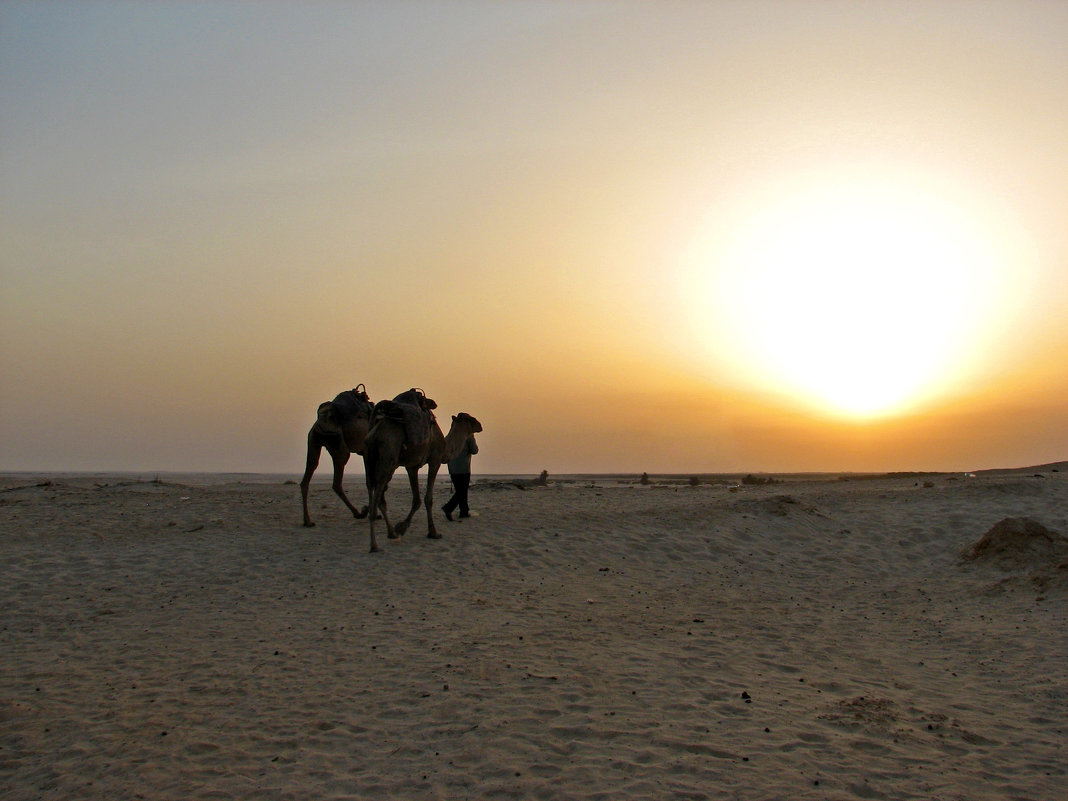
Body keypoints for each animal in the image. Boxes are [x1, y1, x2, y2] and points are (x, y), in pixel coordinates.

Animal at [301, 386, 375, 529]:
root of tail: (323, 419)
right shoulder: (368, 451)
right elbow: (371, 482)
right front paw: (373, 513)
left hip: (313, 441)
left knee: (309, 472)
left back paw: (308, 521)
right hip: (340, 446)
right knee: (336, 482)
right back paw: (359, 513)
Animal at [365, 393, 487, 555]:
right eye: (469, 419)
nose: (480, 425)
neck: (445, 446)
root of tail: (375, 434)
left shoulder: (412, 466)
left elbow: (416, 499)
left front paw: (401, 527)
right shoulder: (435, 460)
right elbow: (428, 498)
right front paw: (433, 532)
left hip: (371, 460)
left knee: (372, 489)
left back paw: (392, 533)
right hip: (388, 457)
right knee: (377, 494)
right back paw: (374, 545)